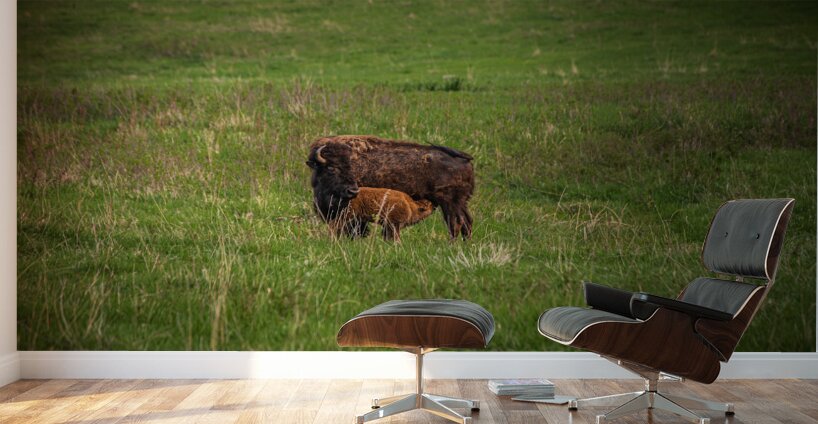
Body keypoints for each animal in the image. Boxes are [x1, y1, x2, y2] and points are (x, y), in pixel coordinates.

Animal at [306, 135, 474, 240]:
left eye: (351, 167)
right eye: (331, 168)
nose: (353, 191)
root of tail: (463, 159)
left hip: (450, 203)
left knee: (456, 224)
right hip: (459, 204)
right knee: (466, 223)